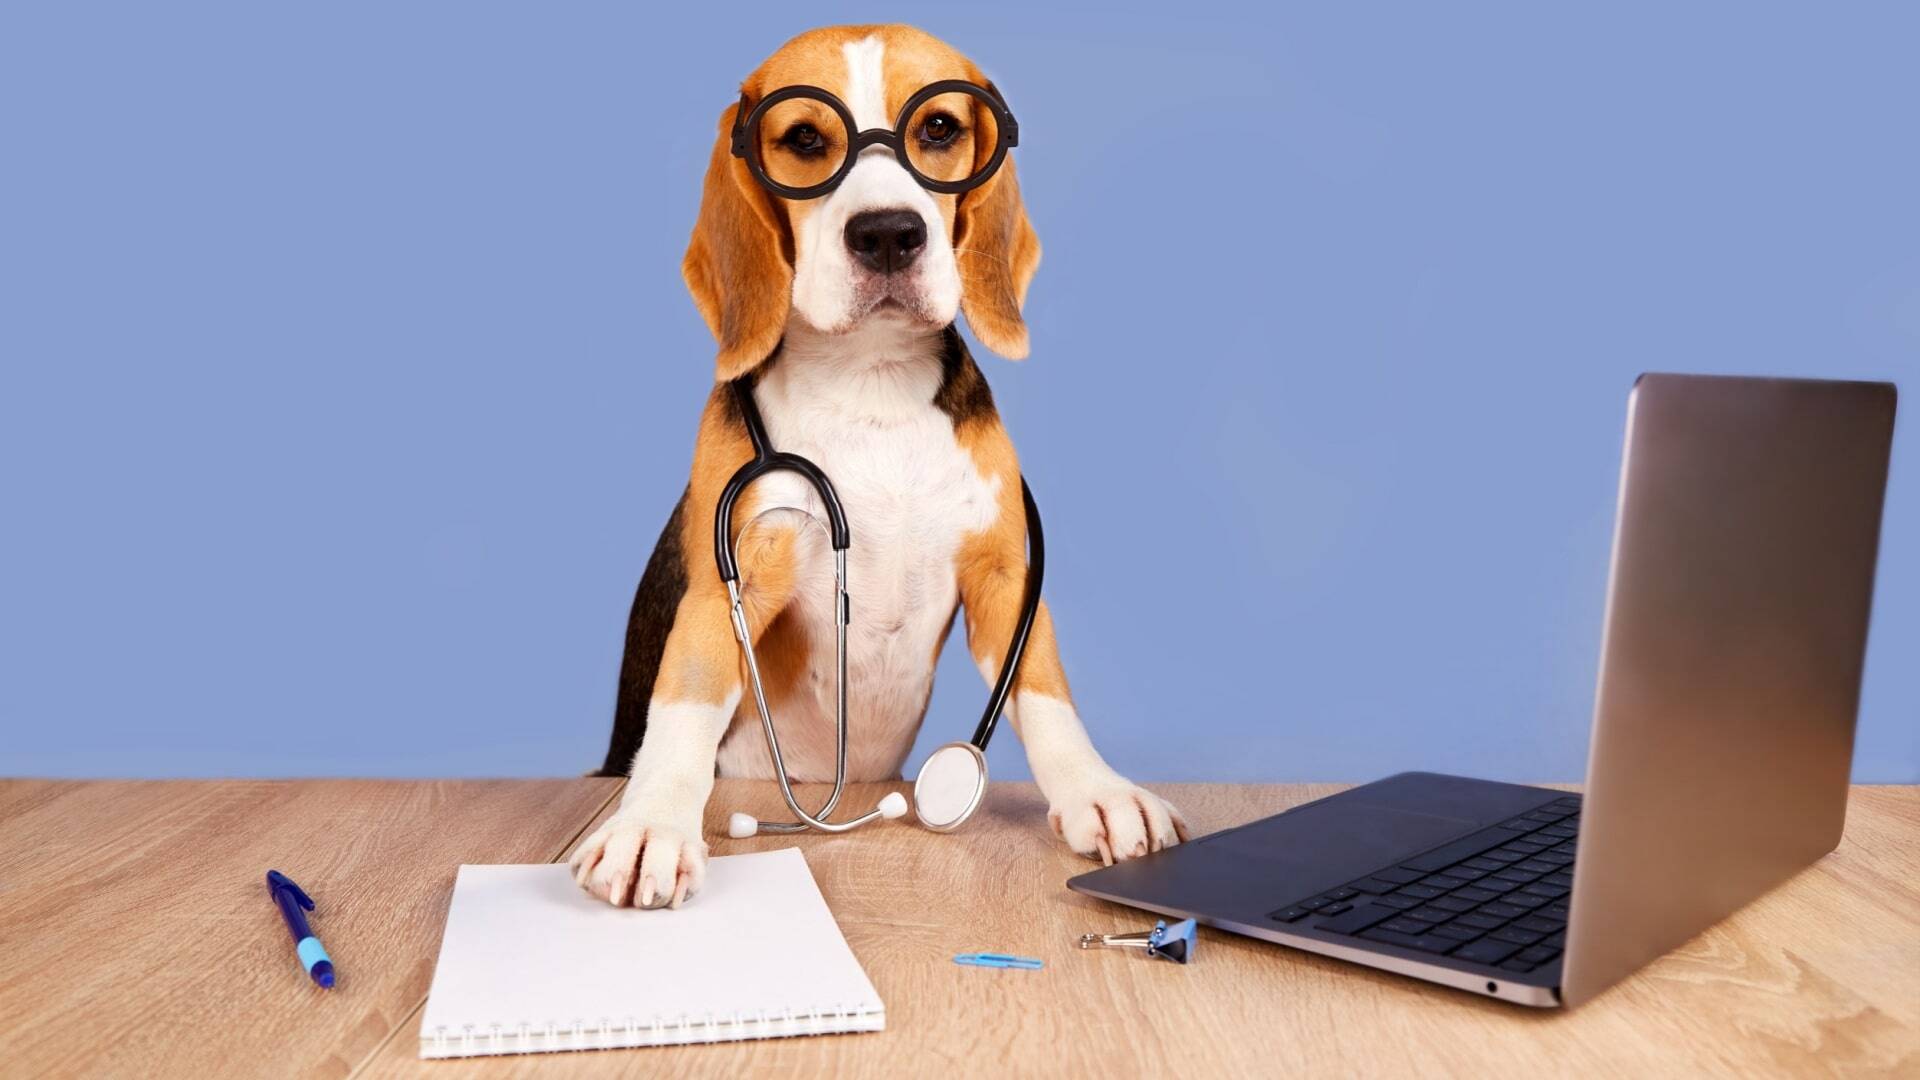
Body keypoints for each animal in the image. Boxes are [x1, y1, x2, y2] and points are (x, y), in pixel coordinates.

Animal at [568, 25, 1175, 903]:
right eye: (804, 140)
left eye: (939, 128)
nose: (888, 232)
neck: (871, 378)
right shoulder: (729, 581)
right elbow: (684, 705)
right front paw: (650, 827)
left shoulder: (1004, 577)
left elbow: (1043, 688)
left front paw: (1099, 792)